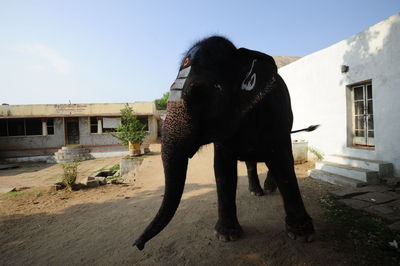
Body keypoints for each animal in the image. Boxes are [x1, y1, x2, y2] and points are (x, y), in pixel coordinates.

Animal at [134, 34, 316, 249]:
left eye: (199, 92)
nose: (138, 245)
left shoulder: (276, 115)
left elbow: (283, 163)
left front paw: (303, 234)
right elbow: (222, 169)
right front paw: (227, 235)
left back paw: (269, 189)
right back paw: (256, 192)